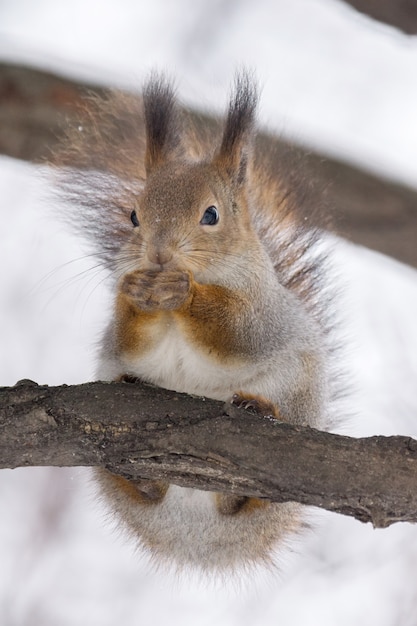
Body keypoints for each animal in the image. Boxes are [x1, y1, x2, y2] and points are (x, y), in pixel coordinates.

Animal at [57, 72, 334, 572]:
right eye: (133, 215)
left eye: (211, 214)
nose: (159, 254)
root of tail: (198, 539)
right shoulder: (122, 335)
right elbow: (129, 339)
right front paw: (137, 294)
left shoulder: (261, 313)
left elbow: (234, 333)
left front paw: (185, 292)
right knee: (148, 488)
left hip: (297, 395)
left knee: (247, 498)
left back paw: (257, 415)